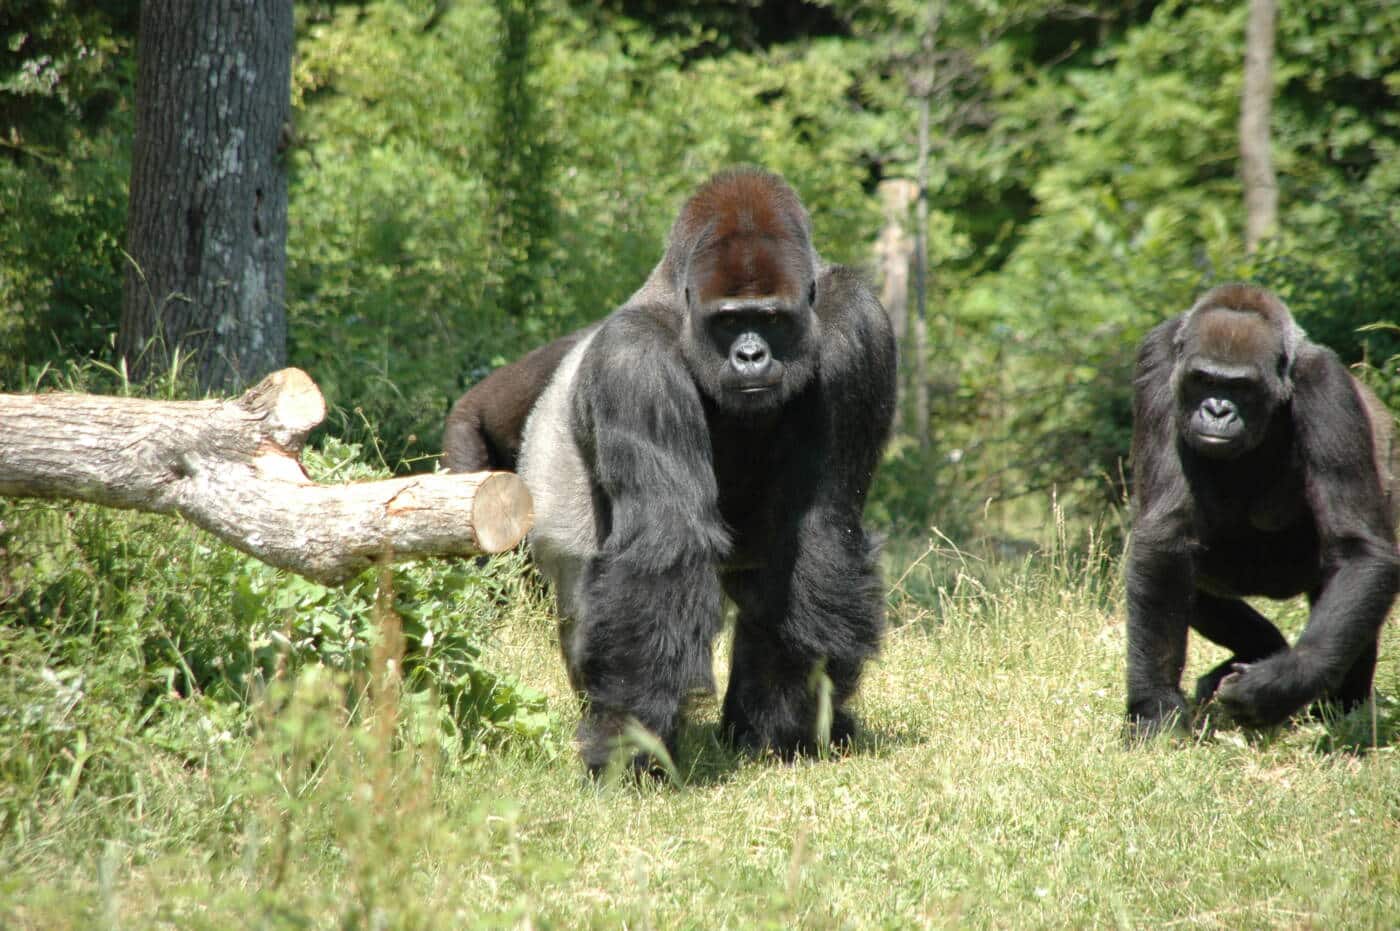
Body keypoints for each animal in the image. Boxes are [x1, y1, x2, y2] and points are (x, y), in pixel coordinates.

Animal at [515, 170, 896, 772]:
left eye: (769, 318)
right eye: (729, 321)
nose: (750, 356)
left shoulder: (855, 326)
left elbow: (818, 525)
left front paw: (787, 724)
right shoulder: (633, 360)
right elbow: (666, 543)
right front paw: (630, 742)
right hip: (548, 474)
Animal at [1125, 282, 1400, 733]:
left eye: (1241, 387)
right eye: (1203, 380)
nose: (1217, 410)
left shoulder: (1325, 385)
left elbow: (1359, 551)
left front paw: (1280, 685)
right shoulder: (1158, 360)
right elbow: (1166, 538)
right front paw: (1155, 706)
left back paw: (1344, 711)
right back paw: (1263, 648)